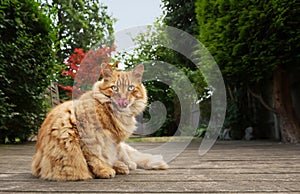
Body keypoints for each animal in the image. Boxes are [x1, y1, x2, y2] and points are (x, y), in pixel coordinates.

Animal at [32, 64, 169, 181]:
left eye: (131, 88)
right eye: (114, 88)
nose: (123, 100)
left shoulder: (113, 141)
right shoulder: (88, 136)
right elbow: (94, 158)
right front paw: (103, 170)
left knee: (131, 157)